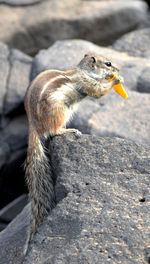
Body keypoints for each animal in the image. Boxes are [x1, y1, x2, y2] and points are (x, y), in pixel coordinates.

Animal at [23, 53, 122, 254]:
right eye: (108, 63)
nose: (118, 69)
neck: (83, 70)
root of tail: (33, 126)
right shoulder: (86, 82)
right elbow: (98, 92)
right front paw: (116, 80)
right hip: (59, 109)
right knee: (53, 131)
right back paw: (69, 130)